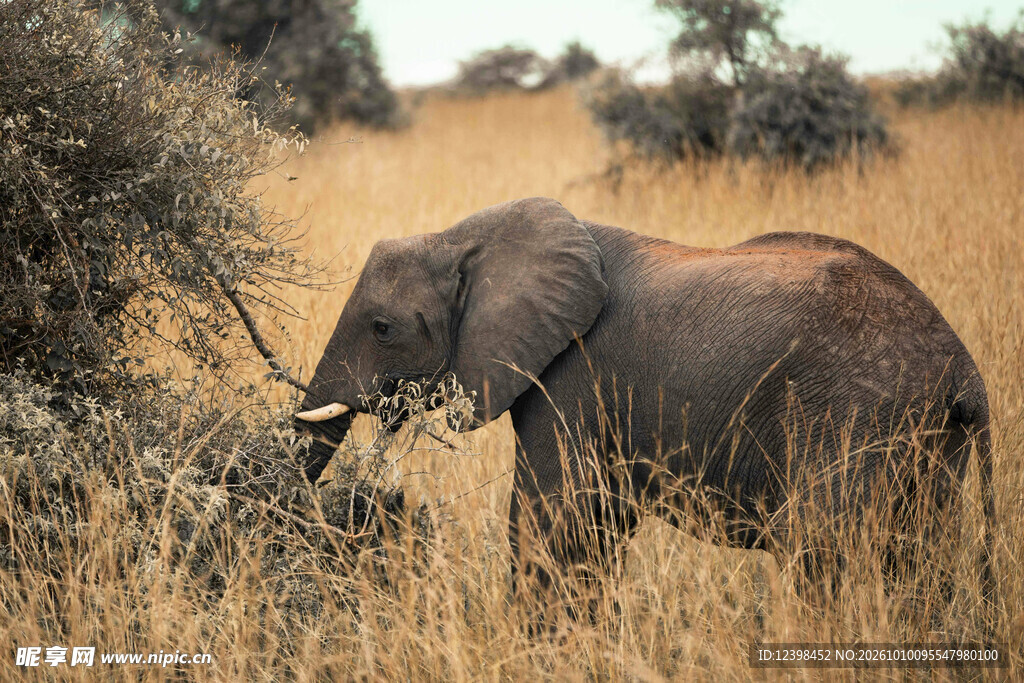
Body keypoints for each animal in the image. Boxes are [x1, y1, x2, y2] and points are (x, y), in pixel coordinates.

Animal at [294, 197, 994, 604]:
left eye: (382, 327)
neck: (460, 237)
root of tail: (965, 372)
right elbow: (598, 525)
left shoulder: (573, 371)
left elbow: (552, 520)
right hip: (926, 443)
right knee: (919, 558)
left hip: (854, 418)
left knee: (827, 554)